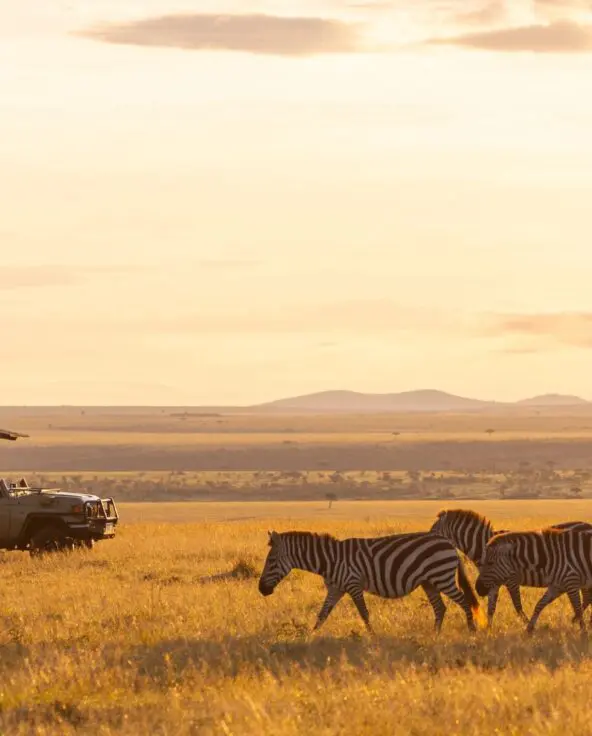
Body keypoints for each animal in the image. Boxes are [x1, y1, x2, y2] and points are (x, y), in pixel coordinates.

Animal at [258, 530, 486, 634]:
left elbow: (364, 613)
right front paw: (311, 635)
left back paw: (471, 630)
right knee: (440, 608)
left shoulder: (353, 584)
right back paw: (435, 634)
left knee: (464, 601)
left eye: (271, 561)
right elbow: (322, 614)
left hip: (442, 577)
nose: (261, 590)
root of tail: (448, 542)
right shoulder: (335, 589)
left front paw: (372, 636)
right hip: (429, 582)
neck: (330, 560)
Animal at [429, 509, 592, 626]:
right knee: (587, 598)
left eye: (433, 530)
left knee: (586, 598)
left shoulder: (511, 580)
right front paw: (488, 630)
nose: (428, 539)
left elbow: (517, 605)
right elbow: (491, 608)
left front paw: (528, 624)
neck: (484, 545)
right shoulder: (493, 582)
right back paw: (577, 620)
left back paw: (575, 620)